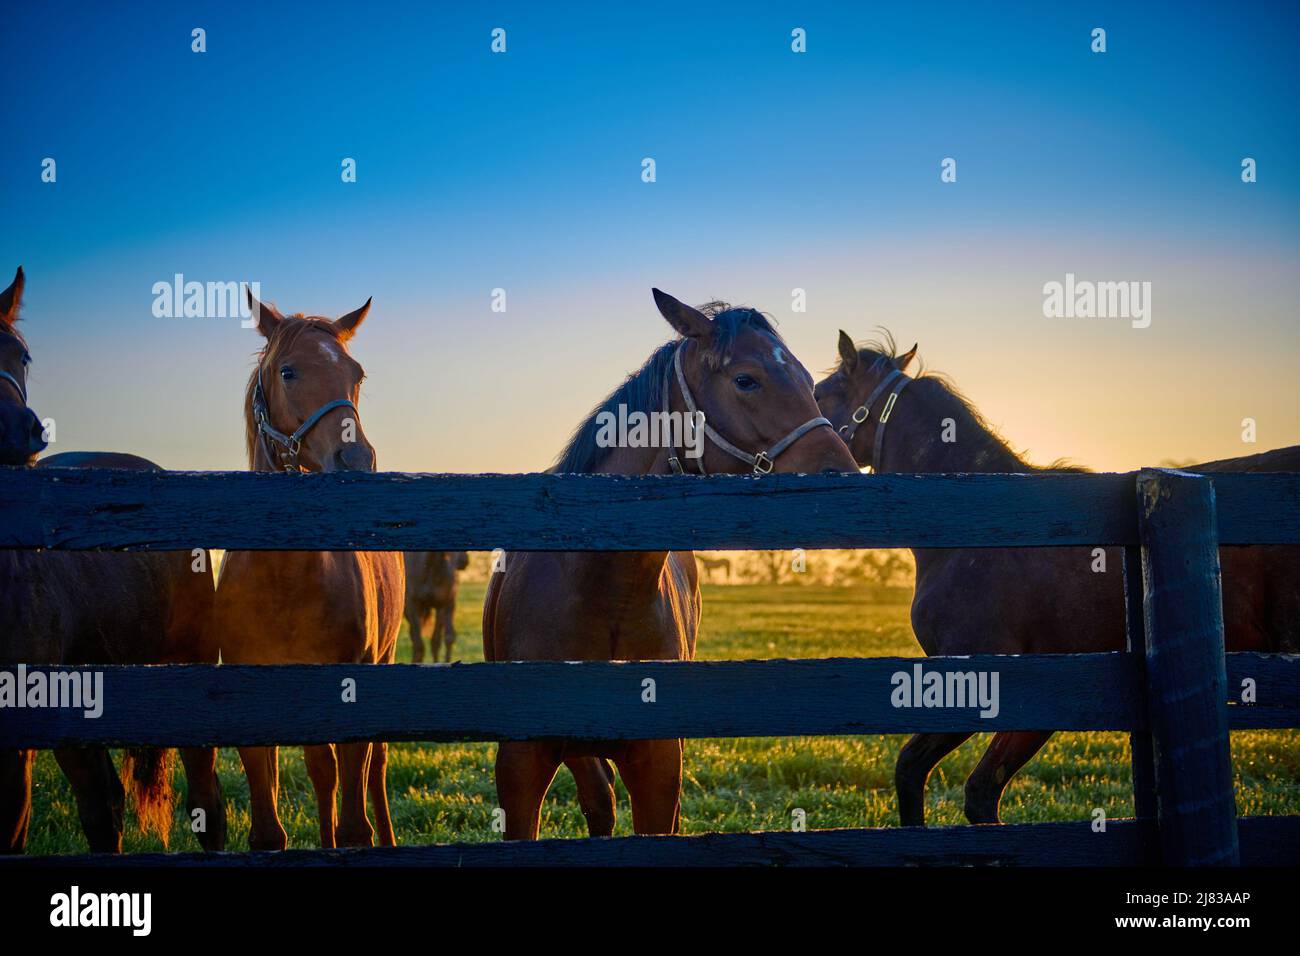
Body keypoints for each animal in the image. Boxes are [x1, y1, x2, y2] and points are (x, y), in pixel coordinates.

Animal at [210, 291, 403, 853]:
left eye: (356, 374)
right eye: (288, 371)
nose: (357, 460)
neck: (286, 579)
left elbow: (351, 793)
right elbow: (270, 810)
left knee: (369, 766)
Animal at [483, 287, 857, 842]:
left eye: (810, 382)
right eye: (746, 379)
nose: (845, 473)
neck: (599, 591)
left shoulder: (659, 764)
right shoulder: (521, 765)